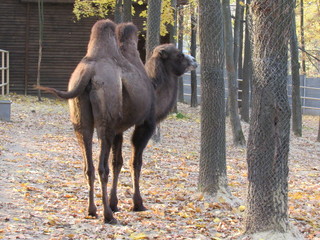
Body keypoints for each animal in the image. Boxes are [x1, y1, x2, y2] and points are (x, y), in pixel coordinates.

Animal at [37, 19, 198, 224]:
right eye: (179, 54)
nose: (194, 61)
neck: (155, 90)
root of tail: (88, 74)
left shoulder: (118, 129)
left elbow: (117, 162)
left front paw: (115, 203)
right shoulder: (146, 124)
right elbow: (135, 162)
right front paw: (137, 204)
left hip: (81, 120)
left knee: (88, 164)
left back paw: (92, 210)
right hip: (105, 120)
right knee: (101, 168)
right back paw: (107, 215)